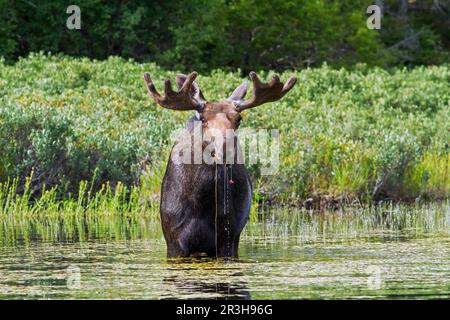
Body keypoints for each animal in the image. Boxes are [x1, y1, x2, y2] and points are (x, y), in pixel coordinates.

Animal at [143, 70, 296, 258]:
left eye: (239, 118)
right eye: (203, 119)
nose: (226, 147)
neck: (199, 200)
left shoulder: (228, 237)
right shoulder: (174, 241)